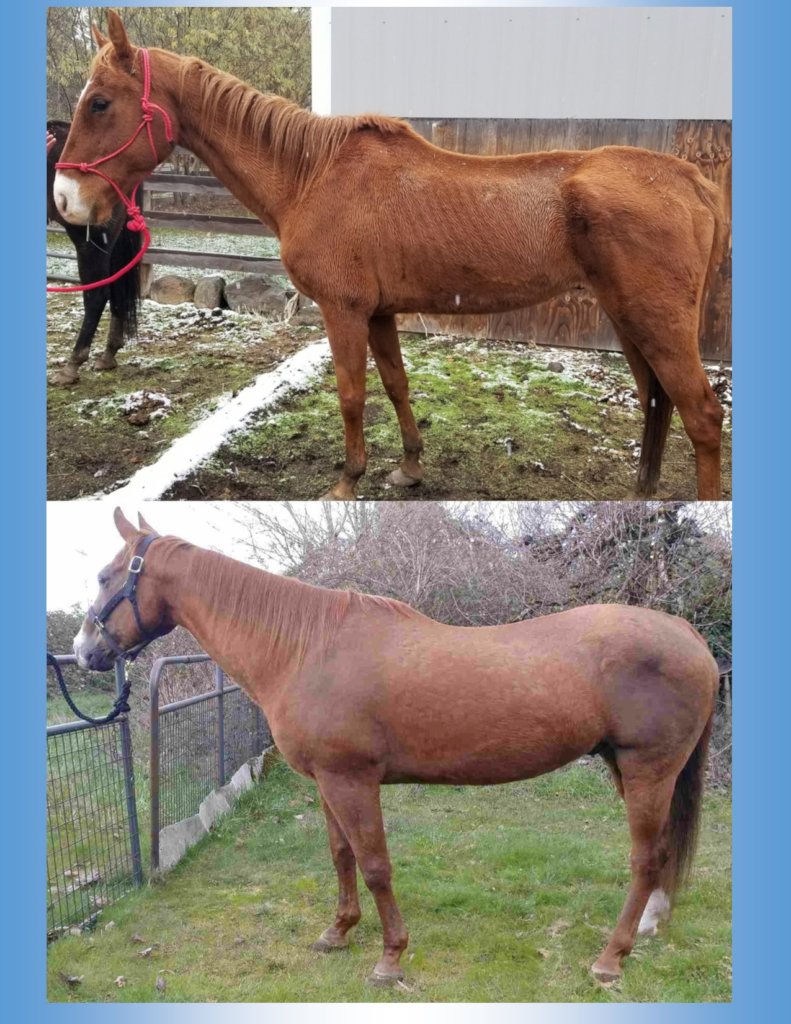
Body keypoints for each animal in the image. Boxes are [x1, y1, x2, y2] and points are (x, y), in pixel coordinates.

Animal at [73, 507, 719, 986]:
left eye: (106, 577)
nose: (82, 652)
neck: (305, 648)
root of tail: (686, 633)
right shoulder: (326, 782)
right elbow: (341, 855)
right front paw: (338, 932)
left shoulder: (353, 780)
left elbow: (376, 864)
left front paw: (390, 958)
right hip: (630, 769)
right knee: (660, 854)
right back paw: (649, 927)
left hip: (648, 770)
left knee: (644, 859)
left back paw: (610, 959)